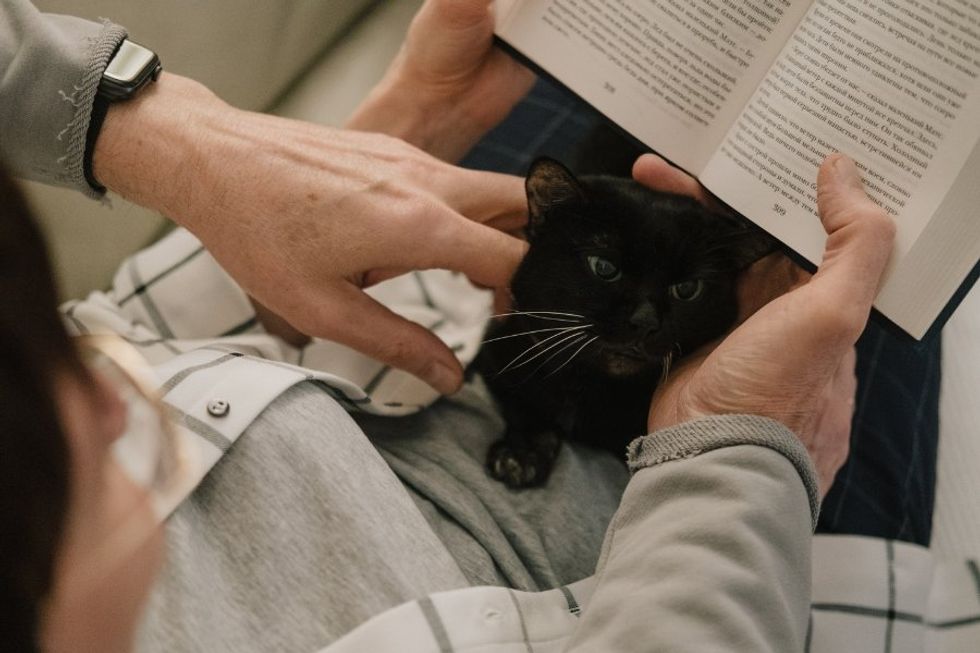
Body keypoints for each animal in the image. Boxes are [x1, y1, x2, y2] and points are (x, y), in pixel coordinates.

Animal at [478, 155, 776, 486]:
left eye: (687, 289)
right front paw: (520, 456)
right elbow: (525, 403)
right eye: (604, 267)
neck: (590, 388)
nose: (645, 321)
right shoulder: (499, 355)